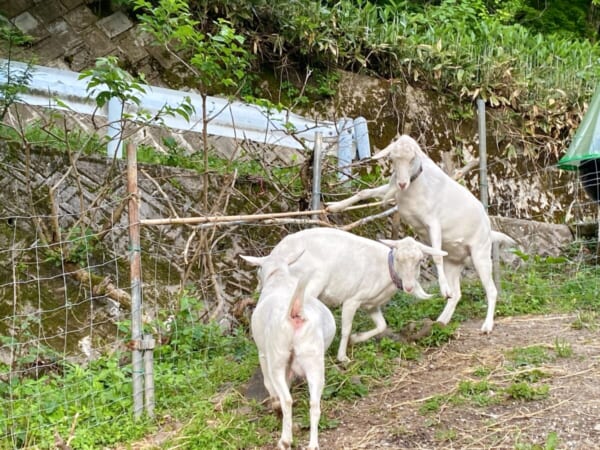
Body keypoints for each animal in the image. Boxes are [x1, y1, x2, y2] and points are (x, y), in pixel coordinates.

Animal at [239, 251, 336, 450]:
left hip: (277, 356)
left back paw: (285, 440)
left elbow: (269, 385)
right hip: (313, 359)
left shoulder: (263, 354)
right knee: (315, 404)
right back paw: (313, 444)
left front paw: (275, 407)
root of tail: (295, 312)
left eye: (258, 270)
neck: (279, 277)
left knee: (287, 399)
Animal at [264, 229, 442, 362]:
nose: (409, 287)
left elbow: (382, 325)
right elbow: (346, 329)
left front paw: (356, 339)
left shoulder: (371, 305)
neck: (386, 270)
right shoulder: (352, 300)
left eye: (420, 260)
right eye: (398, 259)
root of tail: (277, 252)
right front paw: (342, 357)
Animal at [326, 134, 516, 334]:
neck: (415, 184)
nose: (402, 183)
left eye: (412, 159)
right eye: (393, 159)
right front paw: (334, 206)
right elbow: (364, 192)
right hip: (454, 261)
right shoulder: (391, 189)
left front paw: (443, 290)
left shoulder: (433, 222)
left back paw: (486, 325)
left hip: (480, 253)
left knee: (491, 290)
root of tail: (488, 227)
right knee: (457, 294)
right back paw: (440, 322)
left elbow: (436, 257)